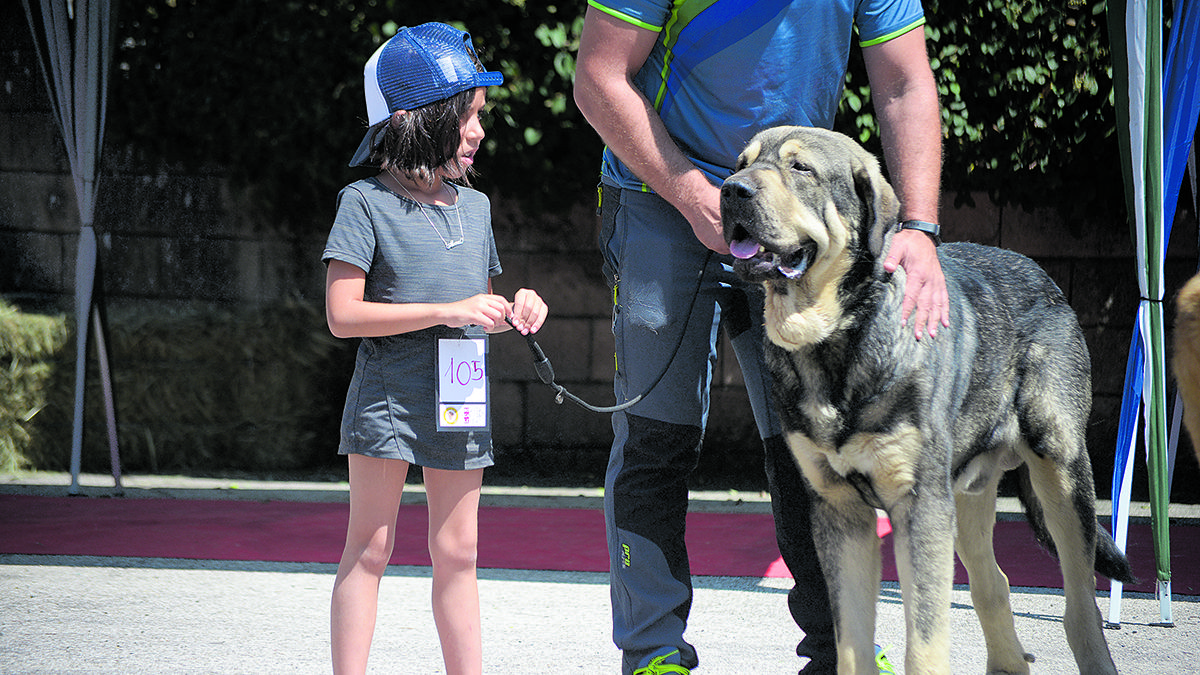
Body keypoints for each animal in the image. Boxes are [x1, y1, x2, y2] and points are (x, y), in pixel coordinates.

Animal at [720, 124, 1132, 667]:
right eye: (741, 164)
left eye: (800, 168)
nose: (731, 191)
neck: (836, 336)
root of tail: (1046, 277)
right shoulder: (841, 512)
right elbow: (850, 639)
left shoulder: (920, 508)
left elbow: (925, 639)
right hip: (968, 494)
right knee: (993, 583)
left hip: (1059, 469)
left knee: (1081, 604)